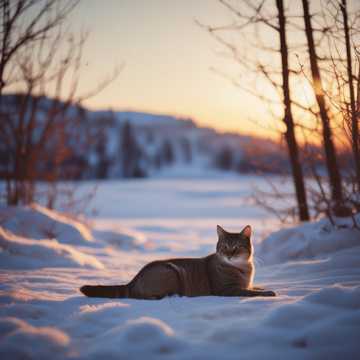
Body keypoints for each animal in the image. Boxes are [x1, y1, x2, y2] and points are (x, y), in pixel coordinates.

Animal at [79, 225, 276, 298]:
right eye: (224, 246)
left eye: (236, 247)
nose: (229, 255)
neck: (243, 268)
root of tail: (133, 280)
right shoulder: (226, 290)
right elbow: (250, 292)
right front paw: (269, 292)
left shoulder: (246, 284)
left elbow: (254, 288)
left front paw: (265, 288)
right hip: (171, 271)